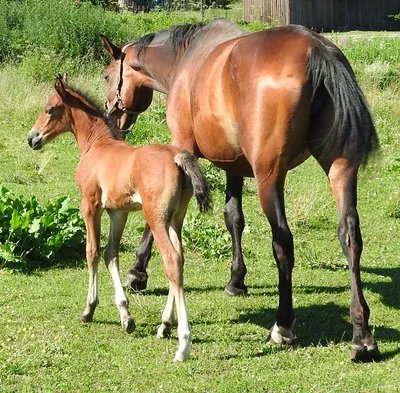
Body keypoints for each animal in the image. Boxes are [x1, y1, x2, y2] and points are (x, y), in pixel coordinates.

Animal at [26, 75, 211, 360]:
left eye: (49, 109)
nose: (32, 138)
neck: (97, 145)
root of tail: (177, 156)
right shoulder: (118, 212)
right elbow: (110, 254)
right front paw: (126, 316)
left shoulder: (90, 204)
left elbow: (91, 251)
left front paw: (89, 309)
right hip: (175, 219)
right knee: (179, 260)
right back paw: (164, 325)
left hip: (155, 218)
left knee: (170, 261)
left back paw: (183, 344)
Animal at [101, 19, 380, 360]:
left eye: (107, 76)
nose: (111, 115)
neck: (185, 59)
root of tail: (317, 50)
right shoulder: (233, 164)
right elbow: (233, 217)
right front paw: (237, 280)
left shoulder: (181, 148)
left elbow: (157, 221)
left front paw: (137, 272)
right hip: (340, 168)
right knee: (350, 236)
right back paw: (362, 334)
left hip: (269, 178)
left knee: (283, 243)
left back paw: (282, 326)